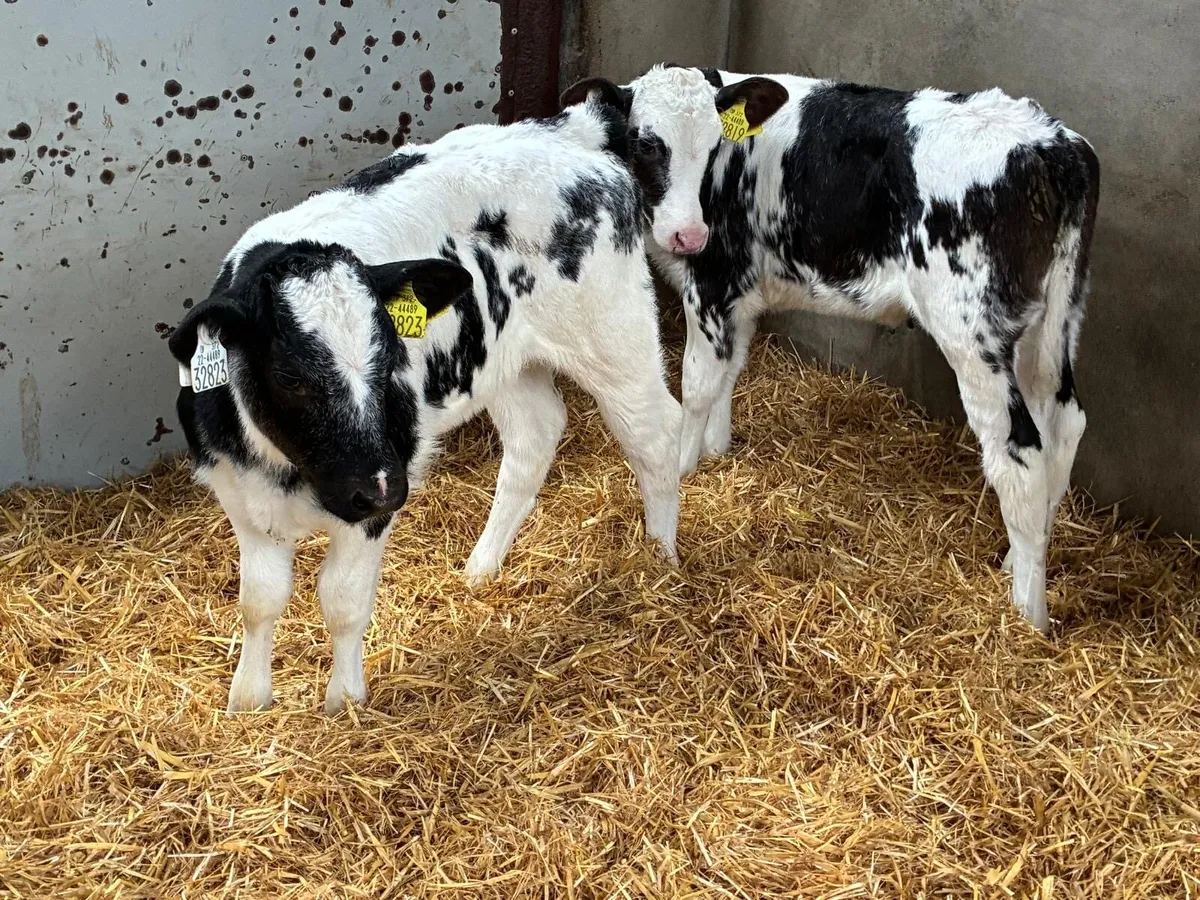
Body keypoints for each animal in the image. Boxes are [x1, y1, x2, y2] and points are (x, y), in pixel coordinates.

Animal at [168, 98, 682, 714]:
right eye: (291, 378)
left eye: (390, 357)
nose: (381, 488)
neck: (295, 472)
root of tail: (566, 129)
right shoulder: (241, 494)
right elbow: (259, 600)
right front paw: (247, 700)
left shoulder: (378, 495)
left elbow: (342, 600)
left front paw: (345, 703)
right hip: (505, 365)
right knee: (535, 437)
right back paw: (482, 568)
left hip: (613, 335)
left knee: (655, 434)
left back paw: (661, 561)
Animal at [562, 65, 1100, 633]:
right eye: (647, 143)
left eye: (711, 147)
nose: (688, 234)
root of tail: (1052, 142)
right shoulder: (744, 290)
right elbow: (730, 368)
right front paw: (717, 451)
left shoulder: (713, 279)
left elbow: (697, 383)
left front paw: (684, 465)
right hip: (1053, 323)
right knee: (1063, 426)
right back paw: (1020, 560)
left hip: (971, 330)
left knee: (1020, 450)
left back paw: (1028, 615)